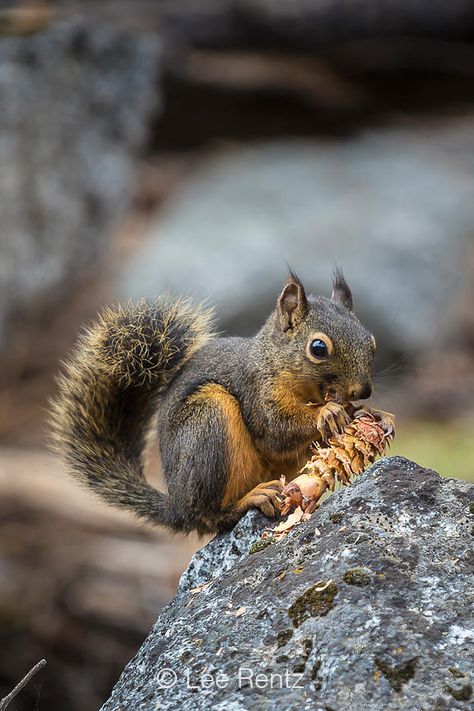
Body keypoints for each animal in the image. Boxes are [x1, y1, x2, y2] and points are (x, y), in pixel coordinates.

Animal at [51, 272, 378, 536]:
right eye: (318, 348)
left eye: (372, 343)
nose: (362, 390)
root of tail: (176, 508)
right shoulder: (255, 389)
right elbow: (275, 429)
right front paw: (328, 413)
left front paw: (357, 415)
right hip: (208, 425)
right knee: (209, 516)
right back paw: (249, 500)